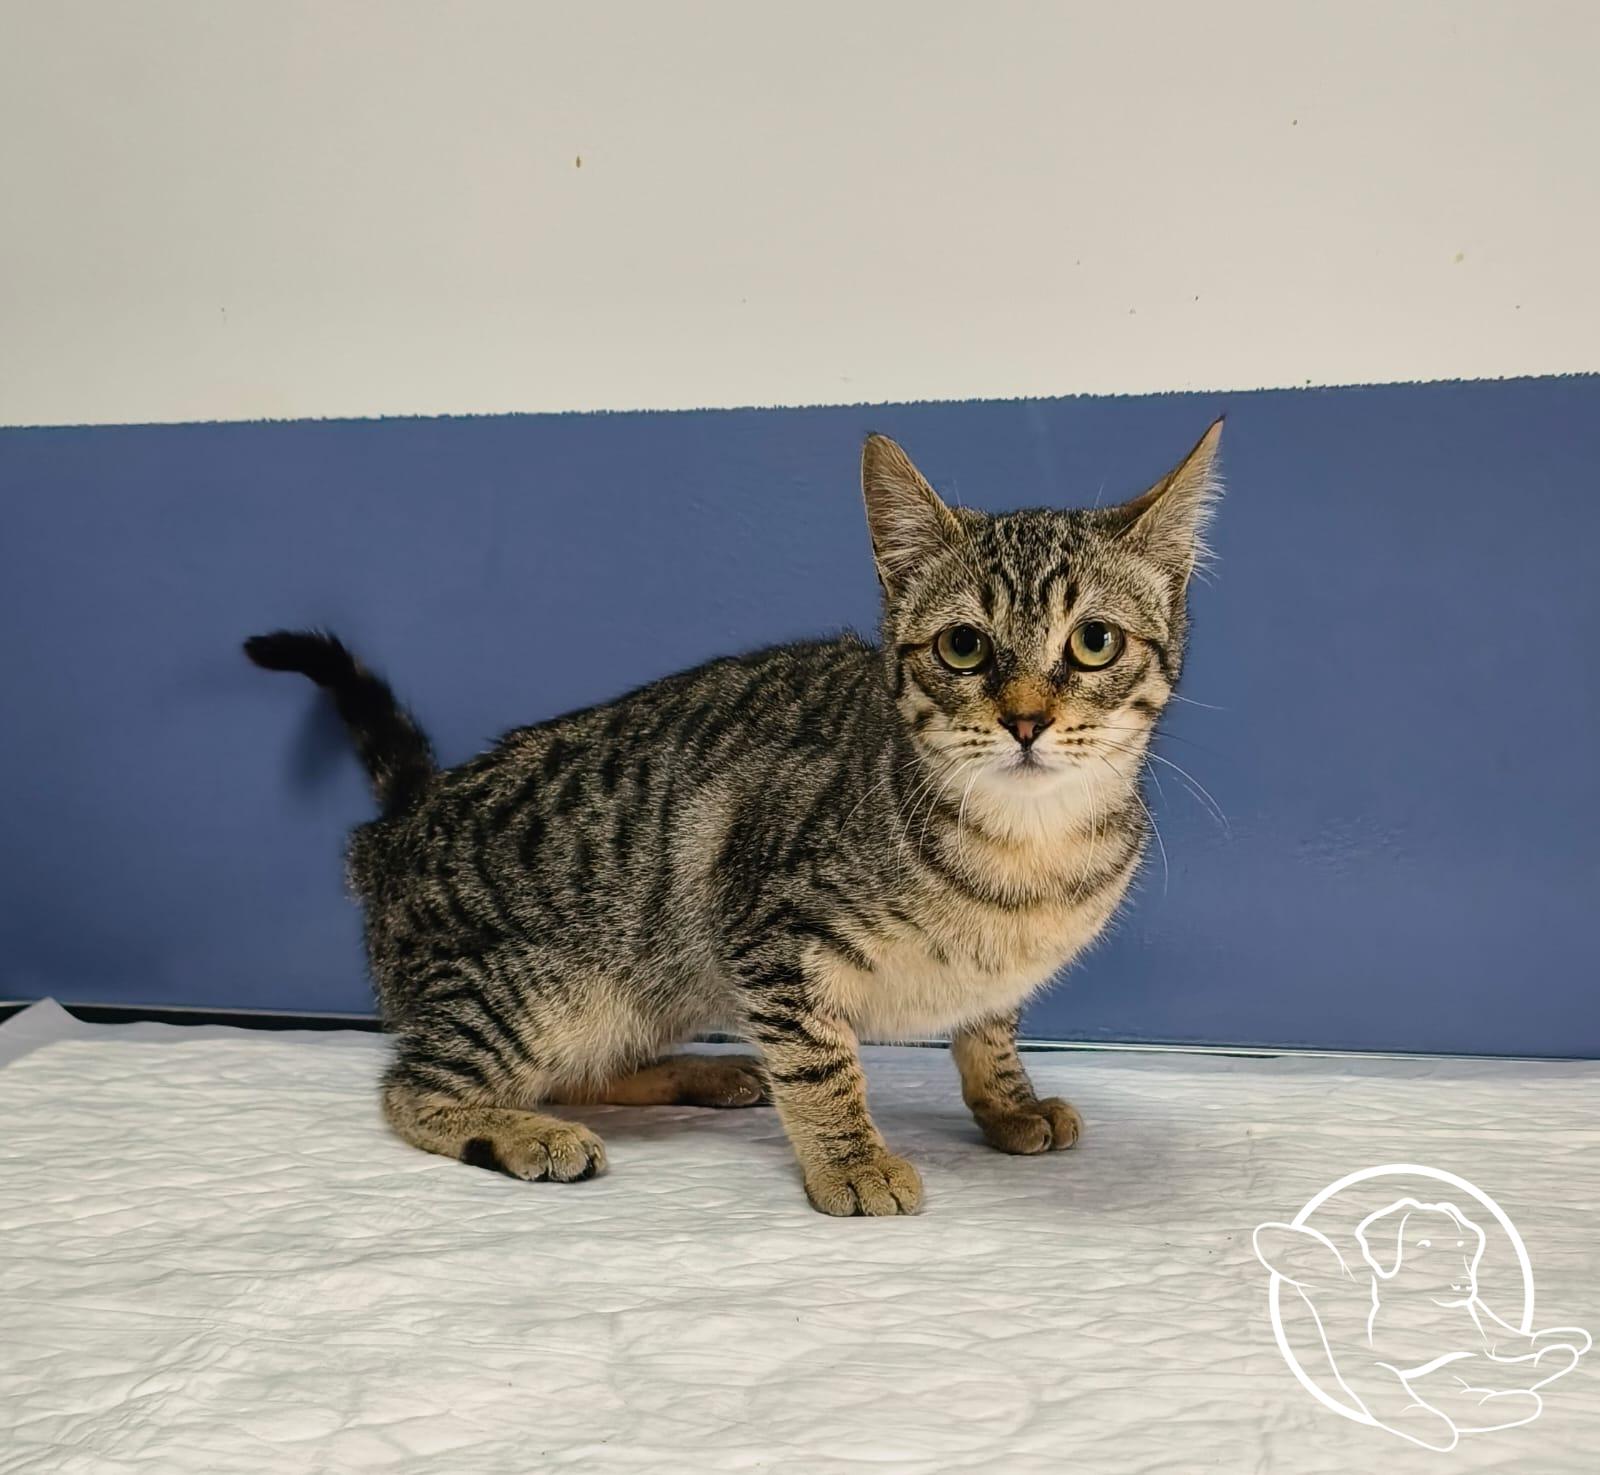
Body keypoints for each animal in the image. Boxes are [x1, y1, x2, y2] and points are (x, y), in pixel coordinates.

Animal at [246, 421, 1222, 1215]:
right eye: (963, 646)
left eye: (1093, 641)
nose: (1026, 719)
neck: (1025, 853)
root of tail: (406, 818)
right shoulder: (766, 931)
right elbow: (822, 1059)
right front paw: (850, 1158)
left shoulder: (982, 979)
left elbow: (990, 1029)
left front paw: (1009, 1102)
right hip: (539, 989)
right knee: (415, 1089)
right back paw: (524, 1128)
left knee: (579, 1074)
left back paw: (700, 1071)